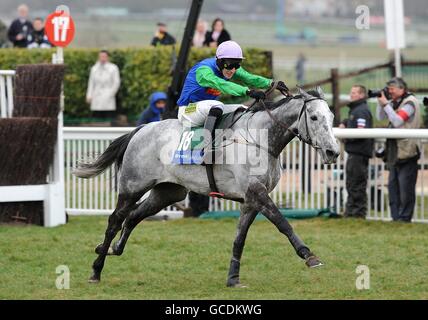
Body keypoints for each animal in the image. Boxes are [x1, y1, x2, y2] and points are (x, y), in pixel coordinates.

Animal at [74, 87, 342, 284]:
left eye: (331, 118)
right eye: (314, 117)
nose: (333, 152)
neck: (260, 140)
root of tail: (140, 130)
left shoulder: (250, 199)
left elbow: (240, 238)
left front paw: (233, 278)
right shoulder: (258, 193)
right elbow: (283, 223)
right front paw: (309, 255)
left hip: (167, 193)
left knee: (133, 217)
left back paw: (111, 249)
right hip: (132, 187)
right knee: (115, 220)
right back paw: (96, 270)